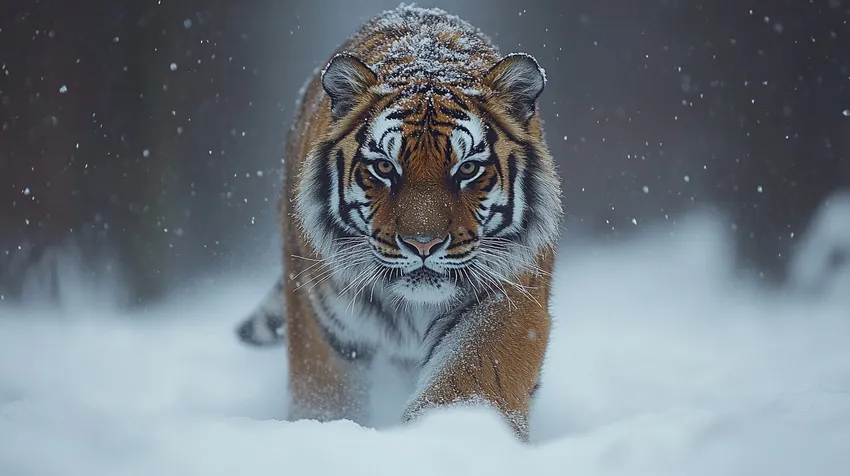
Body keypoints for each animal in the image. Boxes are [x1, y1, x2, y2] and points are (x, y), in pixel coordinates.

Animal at [236, 4, 562, 441]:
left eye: (468, 169)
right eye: (385, 168)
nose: (423, 244)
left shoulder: (510, 294)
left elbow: (470, 379)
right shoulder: (322, 321)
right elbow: (325, 398)